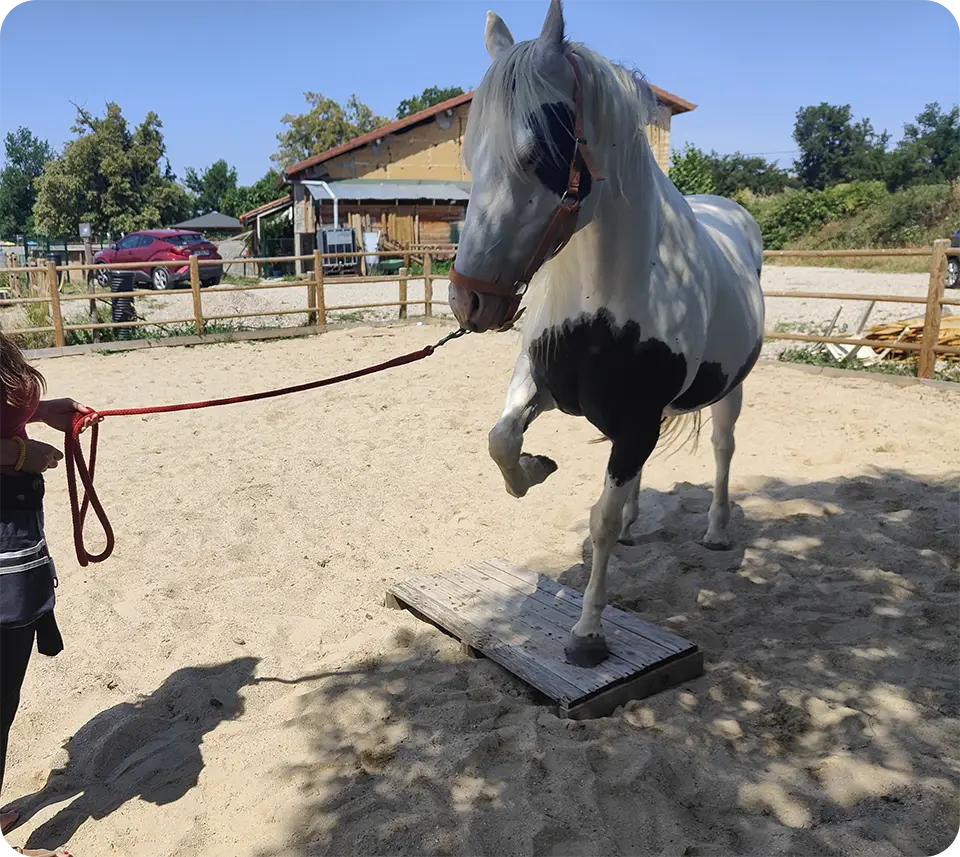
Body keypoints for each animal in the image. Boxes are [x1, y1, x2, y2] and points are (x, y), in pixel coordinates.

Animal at [447, 0, 765, 668]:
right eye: (471, 159)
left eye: (536, 154)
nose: (469, 301)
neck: (604, 297)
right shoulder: (543, 386)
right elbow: (500, 441)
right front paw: (536, 468)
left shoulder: (637, 420)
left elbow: (600, 522)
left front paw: (588, 634)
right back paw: (642, 522)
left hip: (730, 391)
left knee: (723, 449)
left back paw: (717, 530)